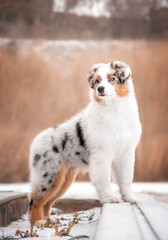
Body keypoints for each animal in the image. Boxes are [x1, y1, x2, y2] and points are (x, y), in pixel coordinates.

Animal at [28, 60, 141, 227]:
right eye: (97, 81)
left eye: (111, 79)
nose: (100, 89)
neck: (113, 108)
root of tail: (35, 142)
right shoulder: (102, 154)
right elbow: (104, 179)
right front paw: (110, 199)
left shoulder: (126, 153)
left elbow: (125, 179)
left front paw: (129, 198)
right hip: (49, 174)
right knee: (34, 199)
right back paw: (38, 223)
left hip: (64, 179)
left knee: (47, 202)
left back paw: (49, 220)